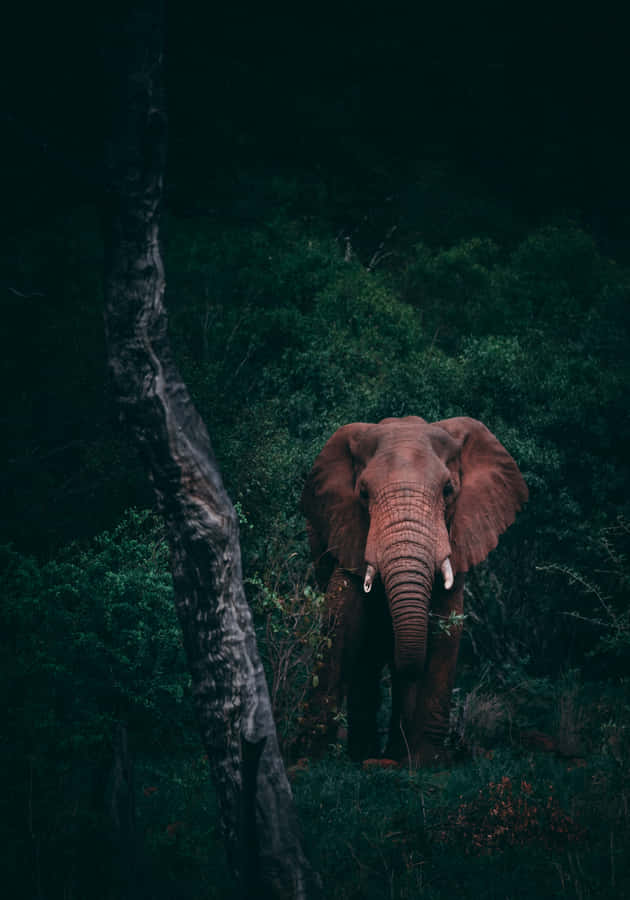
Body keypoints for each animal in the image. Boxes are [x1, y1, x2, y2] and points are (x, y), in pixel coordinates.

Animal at [300, 415, 528, 766]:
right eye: (363, 493)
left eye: (448, 490)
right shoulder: (345, 527)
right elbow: (343, 621)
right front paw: (310, 760)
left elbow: (447, 625)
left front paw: (428, 763)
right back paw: (366, 755)